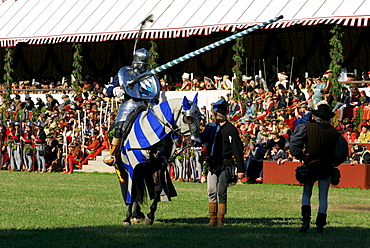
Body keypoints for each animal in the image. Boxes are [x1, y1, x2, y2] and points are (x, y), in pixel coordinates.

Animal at [113, 93, 201, 225]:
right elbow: (132, 191)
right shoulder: (133, 167)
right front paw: (127, 218)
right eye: (189, 118)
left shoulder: (158, 165)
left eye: (199, 117)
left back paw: (137, 214)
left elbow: (158, 188)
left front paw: (150, 216)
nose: (197, 142)